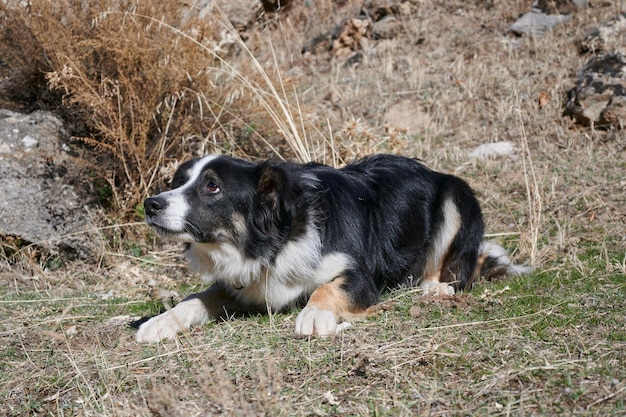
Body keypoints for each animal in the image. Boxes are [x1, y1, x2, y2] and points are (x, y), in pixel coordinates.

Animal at [135, 154, 528, 342]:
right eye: (180, 181)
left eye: (212, 187)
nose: (150, 204)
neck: (279, 239)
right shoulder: (242, 283)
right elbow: (195, 299)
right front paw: (158, 322)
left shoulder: (358, 275)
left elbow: (328, 287)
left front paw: (314, 314)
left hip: (456, 194)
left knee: (458, 266)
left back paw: (435, 288)